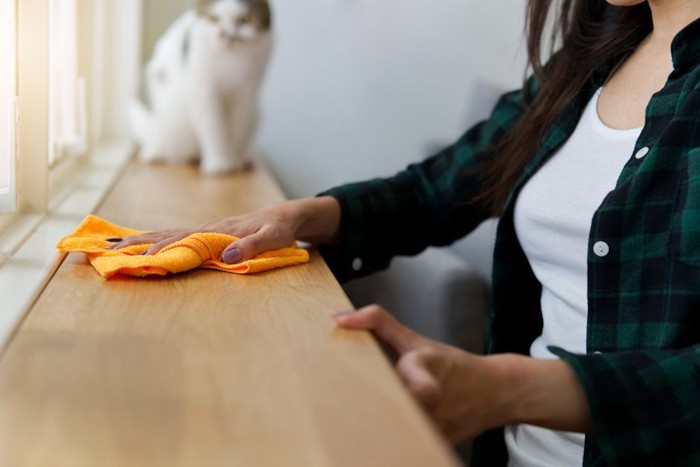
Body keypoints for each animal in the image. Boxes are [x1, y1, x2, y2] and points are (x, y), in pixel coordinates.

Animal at [130, 0, 272, 176]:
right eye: (214, 18)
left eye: (244, 20)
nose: (227, 34)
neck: (231, 63)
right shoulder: (202, 90)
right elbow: (212, 128)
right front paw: (219, 163)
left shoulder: (247, 91)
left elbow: (236, 130)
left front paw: (233, 159)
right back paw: (155, 153)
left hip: (255, 114)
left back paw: (243, 156)